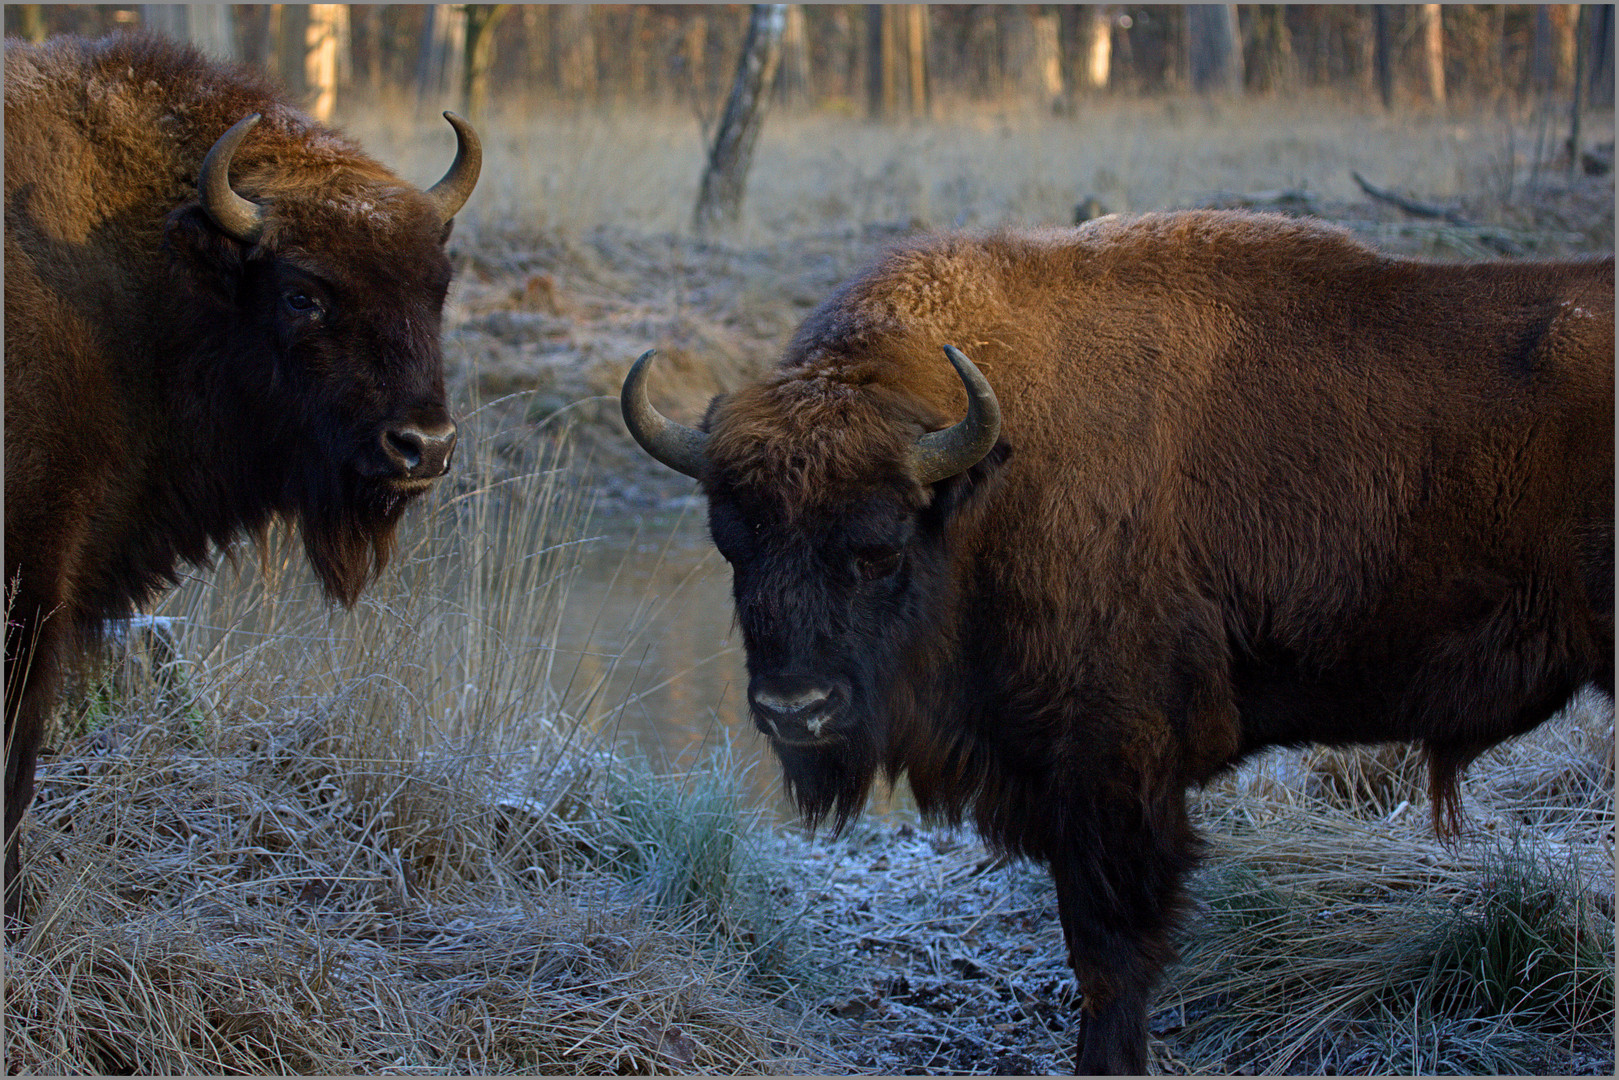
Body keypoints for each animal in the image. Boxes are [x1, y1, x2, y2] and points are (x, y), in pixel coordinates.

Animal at [621, 210, 1619, 1075]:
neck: (989, 481)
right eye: (732, 542)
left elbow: (1109, 956)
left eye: (880, 548)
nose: (797, 710)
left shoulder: (1110, 772)